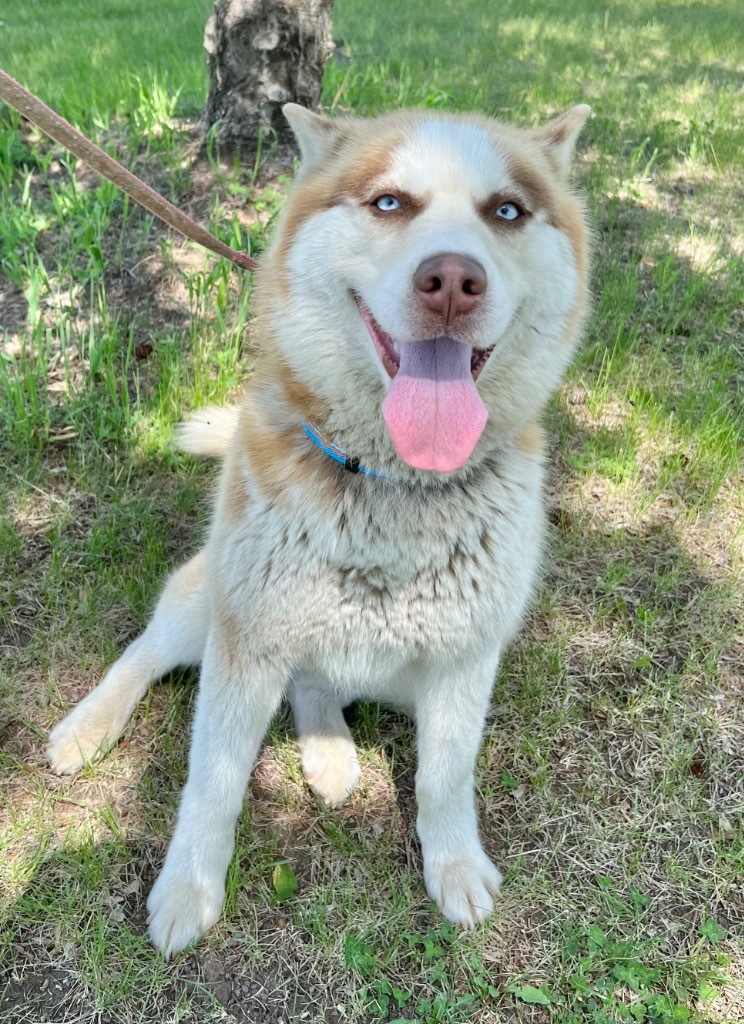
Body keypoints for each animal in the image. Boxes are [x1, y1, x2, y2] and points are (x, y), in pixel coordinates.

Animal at [48, 99, 593, 954]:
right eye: (390, 202)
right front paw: (188, 889)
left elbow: (444, 777)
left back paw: (329, 749)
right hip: (209, 601)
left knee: (313, 684)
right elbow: (212, 781)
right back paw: (87, 728)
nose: (452, 282)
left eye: (506, 211)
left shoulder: (465, 660)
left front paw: (454, 864)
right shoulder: (244, 644)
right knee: (146, 652)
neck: (393, 483)